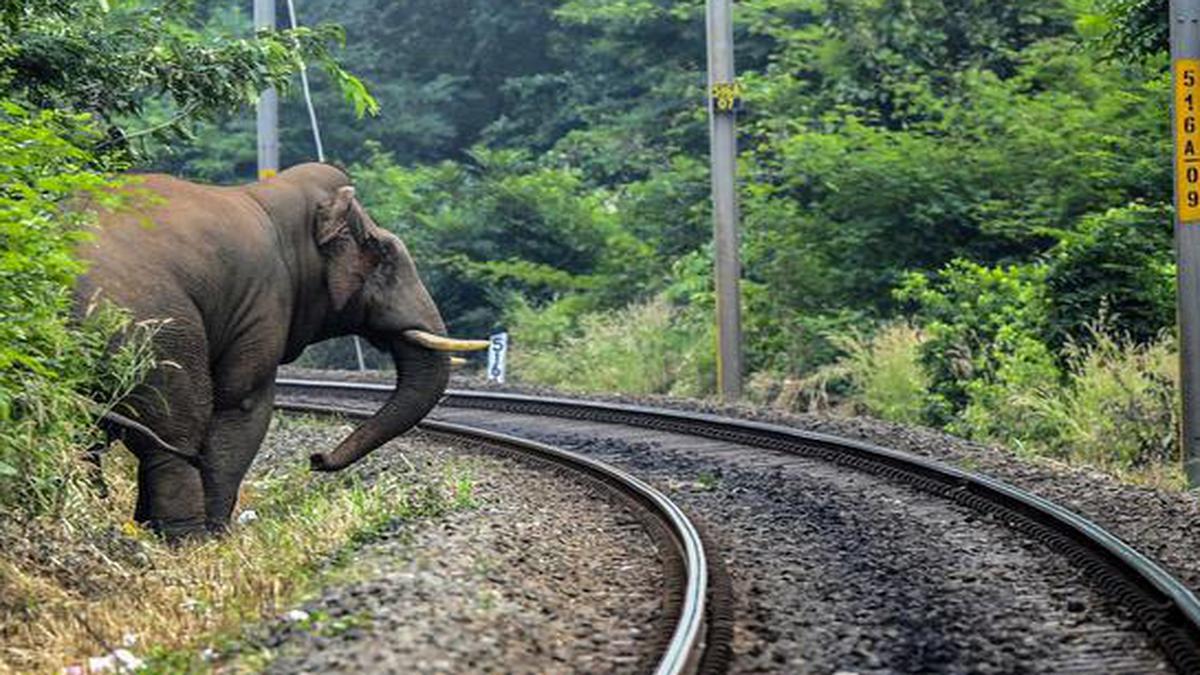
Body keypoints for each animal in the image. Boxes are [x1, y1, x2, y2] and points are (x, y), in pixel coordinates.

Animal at [75, 162, 472, 535]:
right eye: (383, 252)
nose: (315, 459)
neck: (272, 197)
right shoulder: (262, 302)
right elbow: (243, 404)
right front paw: (219, 536)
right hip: (154, 334)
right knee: (174, 433)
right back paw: (188, 538)